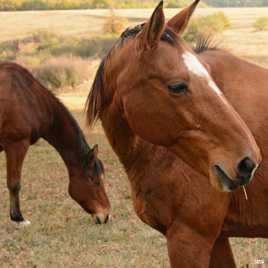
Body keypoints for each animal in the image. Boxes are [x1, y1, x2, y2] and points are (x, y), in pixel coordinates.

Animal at [0, 61, 111, 225]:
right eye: (94, 180)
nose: (105, 215)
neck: (27, 96)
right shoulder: (17, 145)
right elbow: (14, 183)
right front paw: (18, 217)